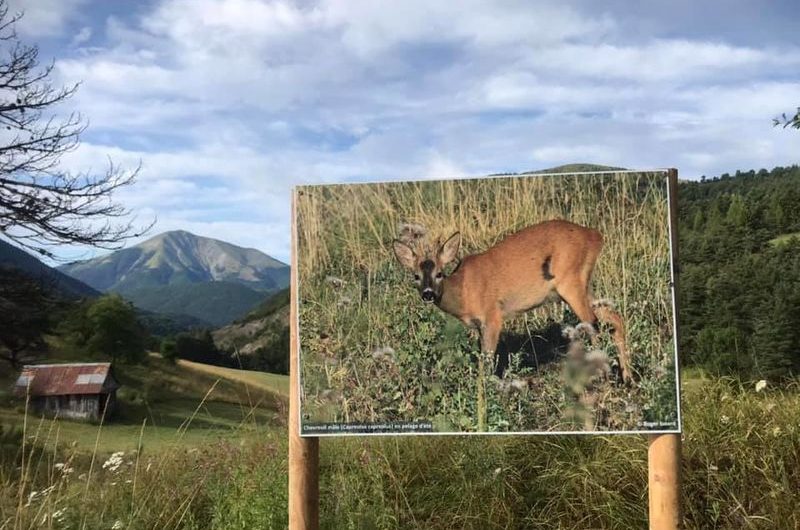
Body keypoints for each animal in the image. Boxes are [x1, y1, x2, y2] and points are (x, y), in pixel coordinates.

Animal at [394, 219, 632, 384]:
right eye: (415, 276)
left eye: (439, 273)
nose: (428, 294)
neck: (464, 290)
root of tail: (596, 236)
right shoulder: (479, 326)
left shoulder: (493, 317)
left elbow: (487, 360)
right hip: (583, 286)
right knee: (614, 318)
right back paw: (627, 378)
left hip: (571, 283)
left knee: (594, 325)